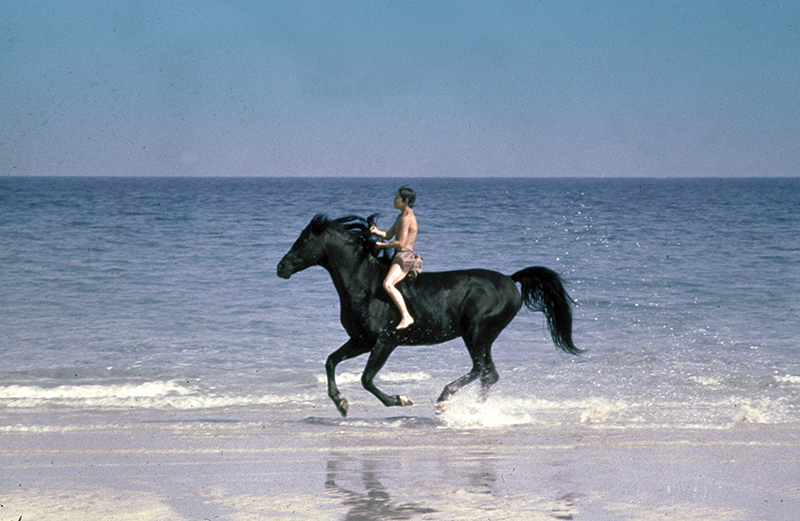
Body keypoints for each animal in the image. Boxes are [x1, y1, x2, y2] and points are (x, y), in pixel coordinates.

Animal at [277, 214, 581, 416]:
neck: (366, 284)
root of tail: (510, 279)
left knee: (482, 370)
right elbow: (331, 361)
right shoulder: (361, 341)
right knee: (489, 374)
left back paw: (445, 401)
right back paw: (475, 411)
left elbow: (366, 379)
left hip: (477, 333)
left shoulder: (385, 342)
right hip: (481, 337)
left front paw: (401, 400)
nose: (281, 268)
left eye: (304, 240)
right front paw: (341, 403)